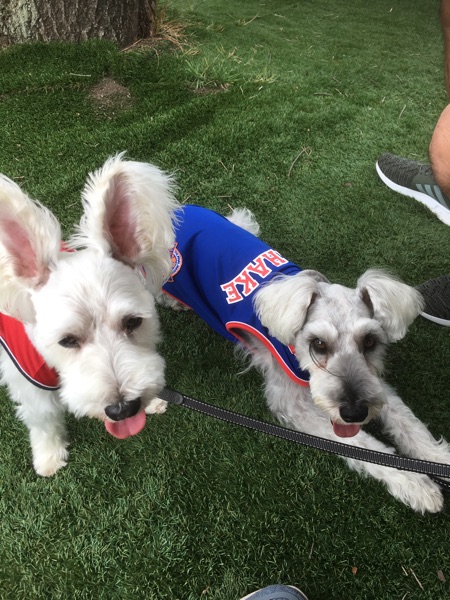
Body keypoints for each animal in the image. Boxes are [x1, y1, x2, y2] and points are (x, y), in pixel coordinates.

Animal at [0, 154, 178, 476]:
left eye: (133, 322)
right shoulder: (28, 382)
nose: (123, 409)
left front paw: (154, 400)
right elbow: (44, 419)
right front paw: (48, 456)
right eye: (67, 341)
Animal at [160, 204, 450, 513]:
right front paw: (415, 483)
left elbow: (408, 423)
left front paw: (439, 461)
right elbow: (363, 446)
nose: (354, 412)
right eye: (318, 343)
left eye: (370, 341)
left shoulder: (375, 386)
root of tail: (180, 208)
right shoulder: (293, 404)